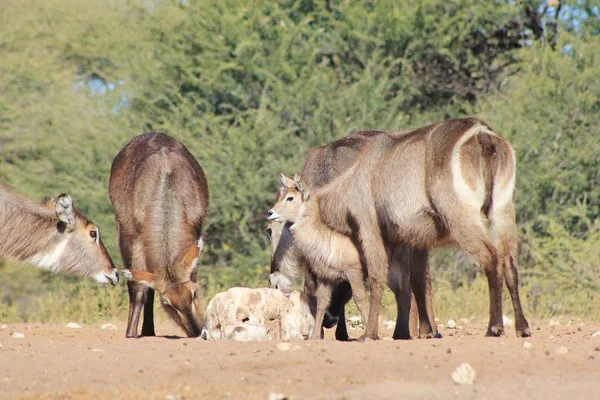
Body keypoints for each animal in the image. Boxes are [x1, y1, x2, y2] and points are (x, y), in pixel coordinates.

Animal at [109, 134, 210, 338]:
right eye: (168, 305)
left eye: (194, 294)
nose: (197, 332)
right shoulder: (137, 242)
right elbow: (140, 289)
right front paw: (131, 333)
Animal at [272, 117, 528, 340]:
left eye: (289, 199)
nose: (274, 276)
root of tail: (482, 134)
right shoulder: (402, 240)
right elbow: (407, 284)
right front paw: (405, 332)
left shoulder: (369, 226)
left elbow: (377, 277)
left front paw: (369, 334)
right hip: (503, 211)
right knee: (510, 265)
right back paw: (522, 328)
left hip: (462, 218)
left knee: (491, 259)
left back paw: (494, 327)